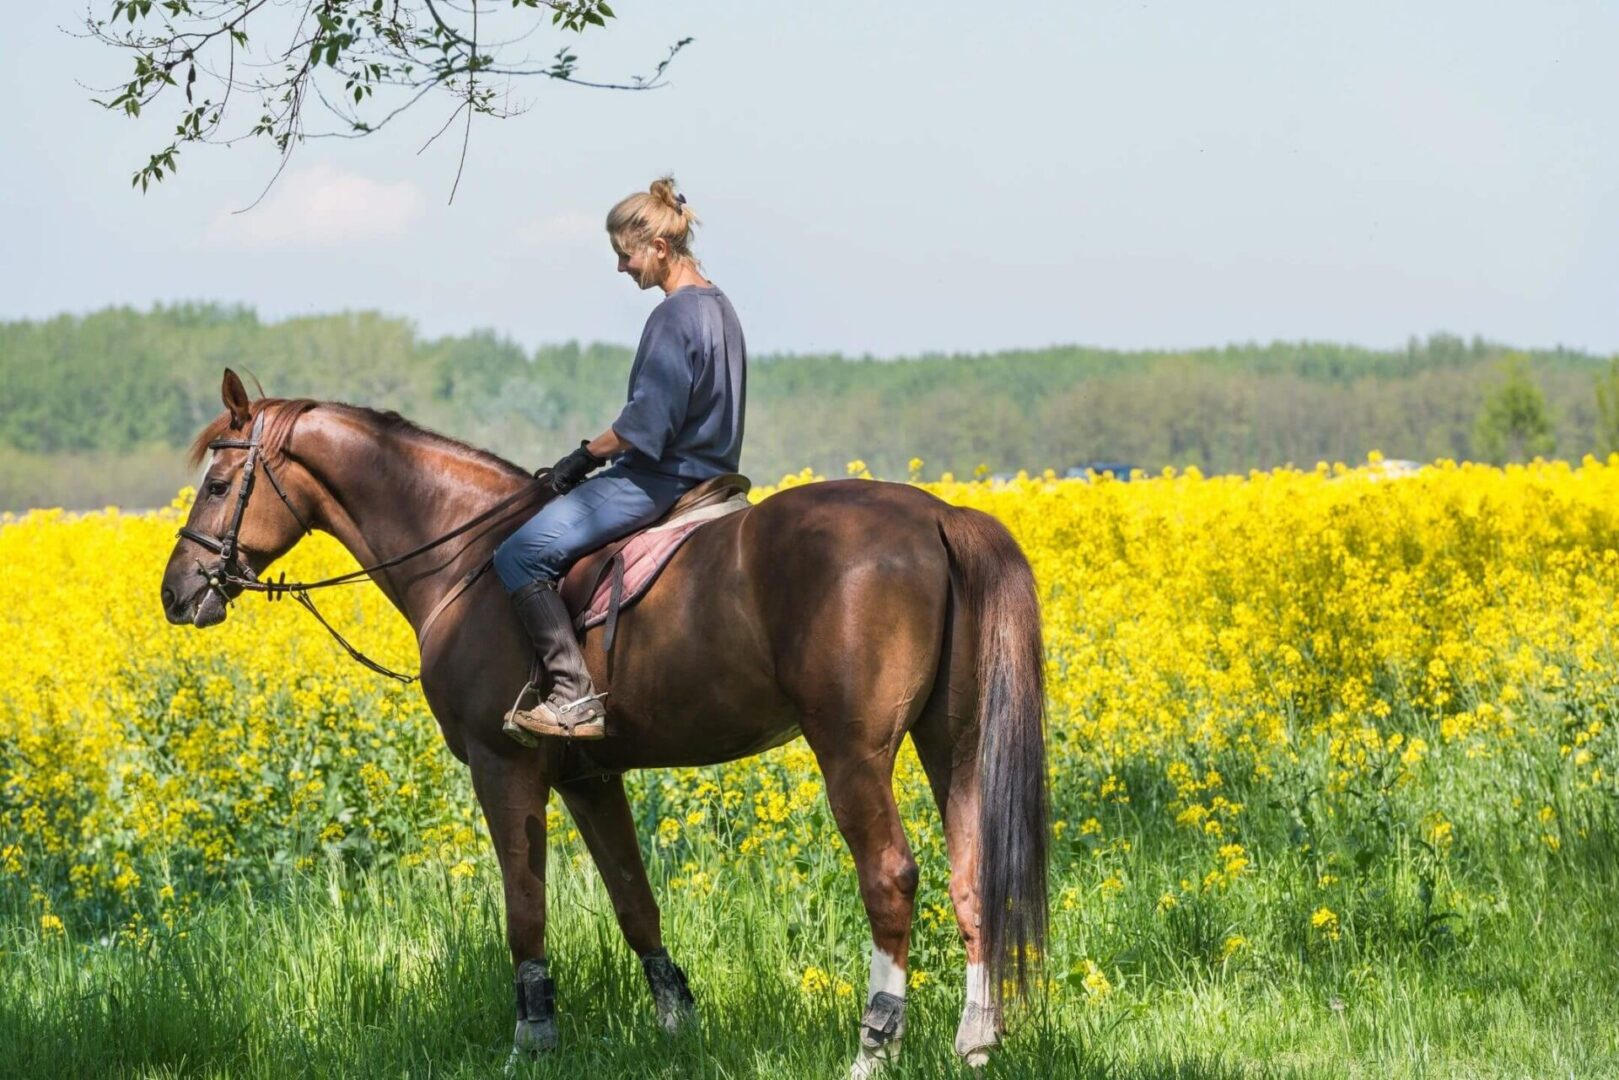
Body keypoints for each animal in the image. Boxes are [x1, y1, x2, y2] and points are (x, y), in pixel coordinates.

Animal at [161, 369, 1049, 1075]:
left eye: (218, 486)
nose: (177, 593)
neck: (465, 560)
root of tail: (937, 516)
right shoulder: (590, 777)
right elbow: (634, 900)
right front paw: (676, 1023)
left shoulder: (504, 768)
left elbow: (525, 910)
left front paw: (532, 1040)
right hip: (951, 743)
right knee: (974, 874)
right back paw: (975, 1040)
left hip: (853, 752)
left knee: (890, 877)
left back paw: (874, 1046)